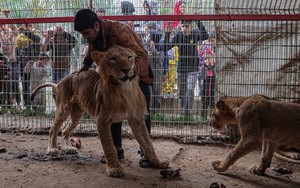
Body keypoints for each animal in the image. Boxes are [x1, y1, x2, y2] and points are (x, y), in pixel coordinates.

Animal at [32, 44, 171, 177]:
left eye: (129, 57)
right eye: (113, 59)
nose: (126, 70)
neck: (124, 90)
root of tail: (61, 81)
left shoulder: (137, 120)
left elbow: (148, 144)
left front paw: (158, 163)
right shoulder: (102, 120)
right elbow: (109, 146)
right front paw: (114, 169)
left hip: (77, 114)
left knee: (65, 130)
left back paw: (68, 148)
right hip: (63, 108)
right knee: (53, 129)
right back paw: (52, 149)